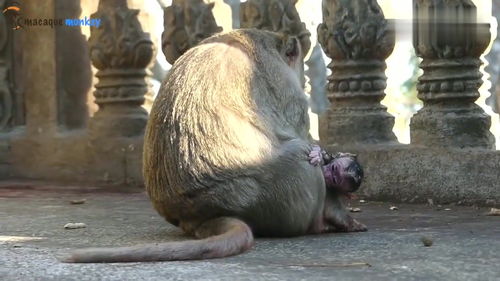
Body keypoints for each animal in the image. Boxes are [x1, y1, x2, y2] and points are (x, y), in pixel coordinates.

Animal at [63, 29, 368, 262]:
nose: (304, 78)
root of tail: (199, 214)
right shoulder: (286, 87)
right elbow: (301, 136)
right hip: (284, 193)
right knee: (300, 157)